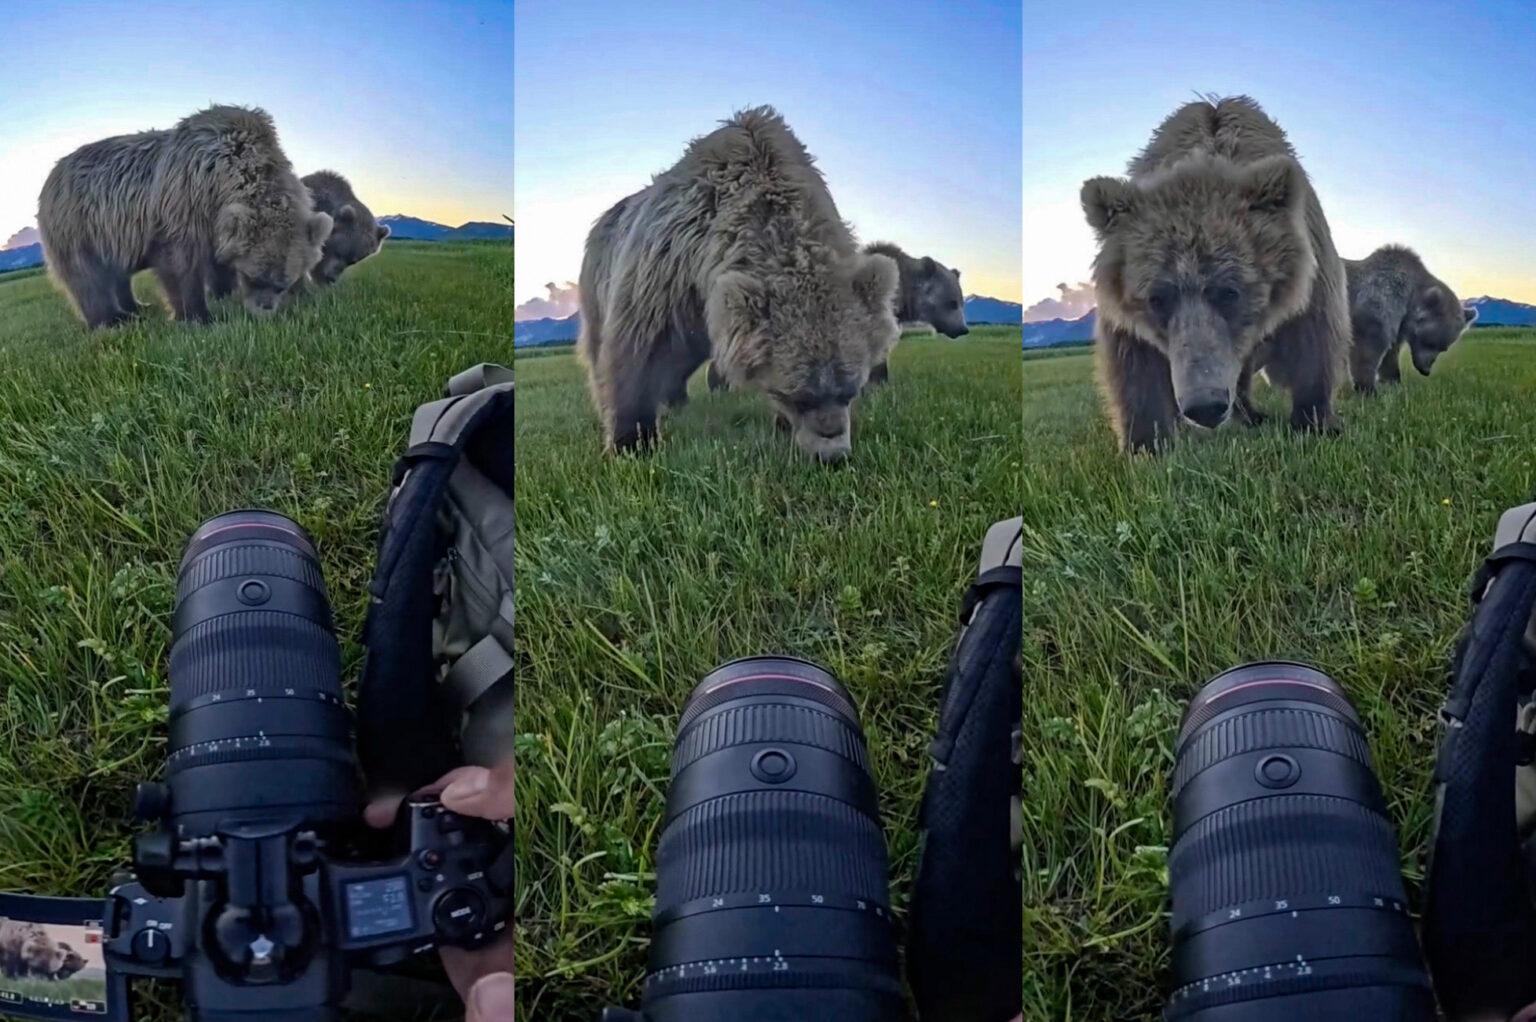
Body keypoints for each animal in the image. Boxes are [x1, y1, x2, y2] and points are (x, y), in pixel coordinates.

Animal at [37, 104, 332, 328]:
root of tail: (52, 172)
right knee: (87, 277)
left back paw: (136, 306)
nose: (265, 309)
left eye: (282, 284)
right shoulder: (183, 202)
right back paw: (110, 318)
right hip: (78, 226)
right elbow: (181, 265)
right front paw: (198, 316)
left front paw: (224, 292)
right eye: (254, 277)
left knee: (117, 273)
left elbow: (218, 262)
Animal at [577, 106, 899, 462]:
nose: (833, 456)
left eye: (849, 391)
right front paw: (631, 440)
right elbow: (638, 350)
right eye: (799, 395)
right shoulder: (668, 270)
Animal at [1080, 95, 1350, 453]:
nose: (1204, 406)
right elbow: (1133, 362)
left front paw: (1313, 420)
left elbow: (1314, 336)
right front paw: (1146, 443)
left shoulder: (1312, 267)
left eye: (1229, 291)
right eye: (1157, 298)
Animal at [1345, 245, 1475, 393]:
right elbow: (1367, 342)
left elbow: (1391, 354)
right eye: (1430, 342)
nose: (1426, 370)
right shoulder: (1380, 297)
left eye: (1444, 348)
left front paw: (1394, 382)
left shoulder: (1398, 327)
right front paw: (1368, 388)